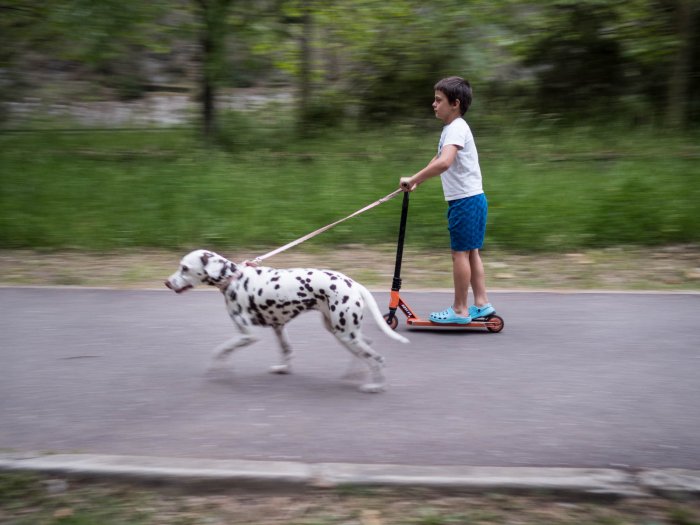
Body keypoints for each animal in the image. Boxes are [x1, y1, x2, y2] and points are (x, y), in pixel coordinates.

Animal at [166, 251, 408, 392]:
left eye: (185, 268)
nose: (167, 282)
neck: (234, 279)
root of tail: (353, 283)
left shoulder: (247, 335)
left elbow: (220, 350)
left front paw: (217, 369)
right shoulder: (278, 327)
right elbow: (286, 350)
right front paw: (283, 368)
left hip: (345, 333)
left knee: (377, 358)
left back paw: (375, 385)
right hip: (341, 331)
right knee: (366, 348)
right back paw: (355, 373)